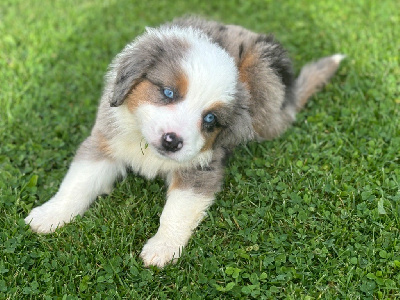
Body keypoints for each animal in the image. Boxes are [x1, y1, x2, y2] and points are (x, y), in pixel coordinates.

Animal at [25, 17, 344, 268]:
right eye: (168, 92)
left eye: (210, 119)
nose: (172, 141)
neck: (147, 146)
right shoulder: (105, 141)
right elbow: (77, 184)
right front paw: (50, 215)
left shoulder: (201, 168)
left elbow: (177, 211)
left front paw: (162, 248)